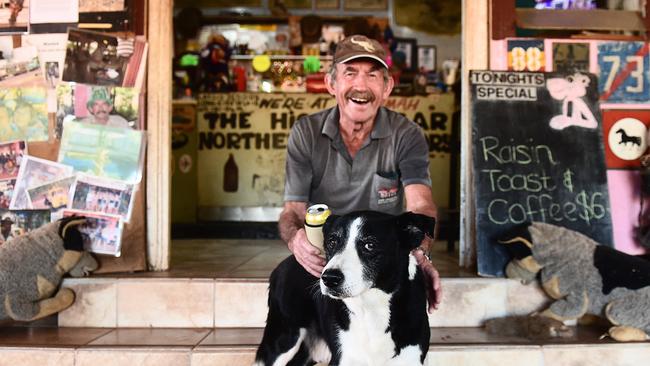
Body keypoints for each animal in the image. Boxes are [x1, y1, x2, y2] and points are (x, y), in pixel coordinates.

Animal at [254, 210, 436, 364]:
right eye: (332, 242)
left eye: (370, 245)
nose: (329, 279)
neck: (372, 308)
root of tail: (282, 265)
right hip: (283, 339)